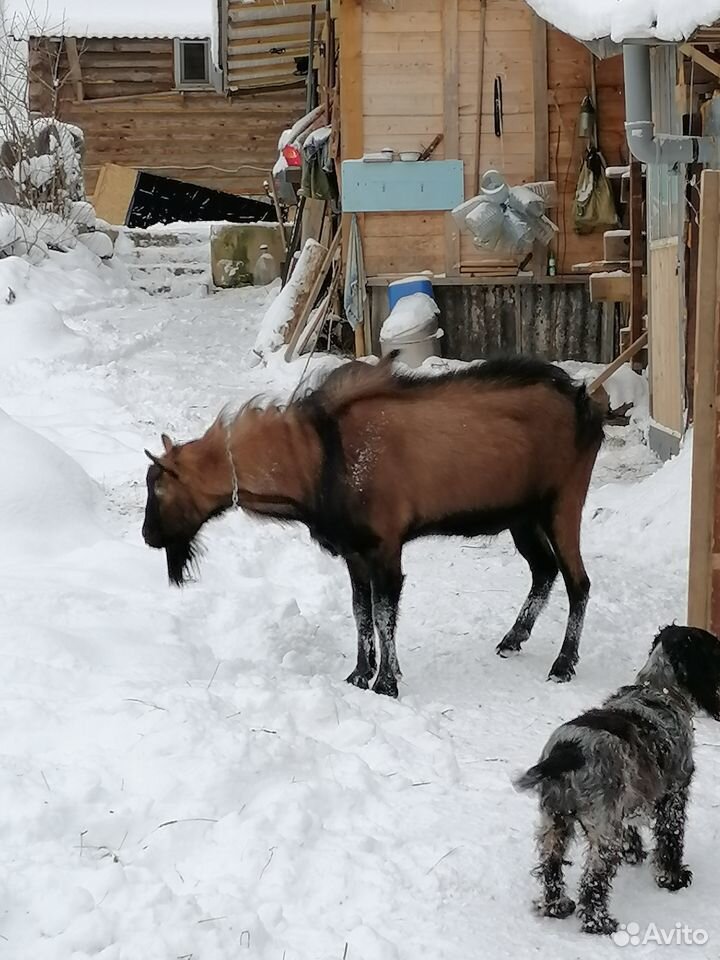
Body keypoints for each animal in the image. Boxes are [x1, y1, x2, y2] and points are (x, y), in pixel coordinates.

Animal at [143, 352, 604, 696]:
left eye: (160, 488)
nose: (148, 536)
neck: (318, 457)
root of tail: (584, 404)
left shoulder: (385, 544)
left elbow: (384, 613)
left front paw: (386, 681)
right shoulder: (354, 551)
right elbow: (360, 611)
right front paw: (360, 674)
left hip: (564, 501)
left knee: (578, 581)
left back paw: (563, 664)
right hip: (522, 515)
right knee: (543, 570)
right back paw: (512, 639)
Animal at [516, 628, 720, 932]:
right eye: (714, 651)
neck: (657, 689)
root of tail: (568, 752)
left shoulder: (629, 802)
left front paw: (634, 854)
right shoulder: (674, 794)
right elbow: (671, 840)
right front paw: (672, 879)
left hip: (554, 823)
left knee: (551, 867)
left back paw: (557, 906)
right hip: (602, 832)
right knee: (593, 881)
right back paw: (600, 923)